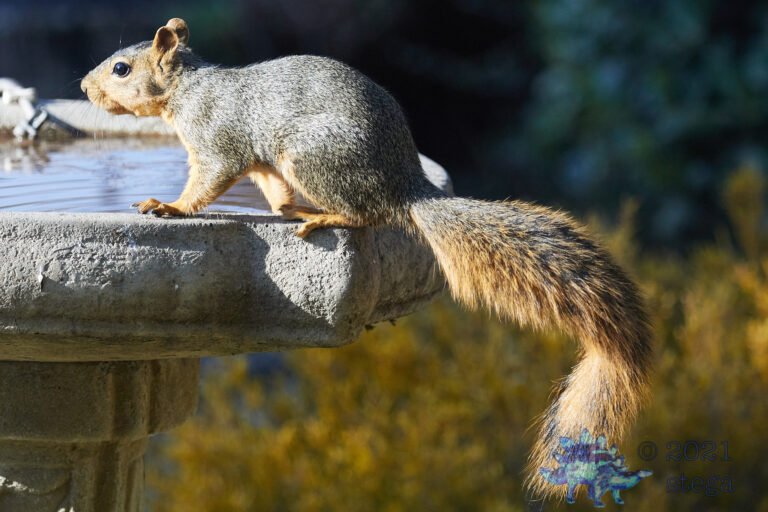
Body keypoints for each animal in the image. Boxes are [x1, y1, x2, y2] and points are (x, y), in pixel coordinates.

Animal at [81, 18, 652, 499]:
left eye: (121, 68)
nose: (85, 88)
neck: (189, 91)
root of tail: (406, 187)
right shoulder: (261, 163)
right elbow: (269, 187)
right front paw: (280, 207)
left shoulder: (217, 141)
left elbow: (206, 183)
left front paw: (170, 206)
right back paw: (302, 209)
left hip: (315, 156)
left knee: (367, 215)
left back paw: (326, 217)